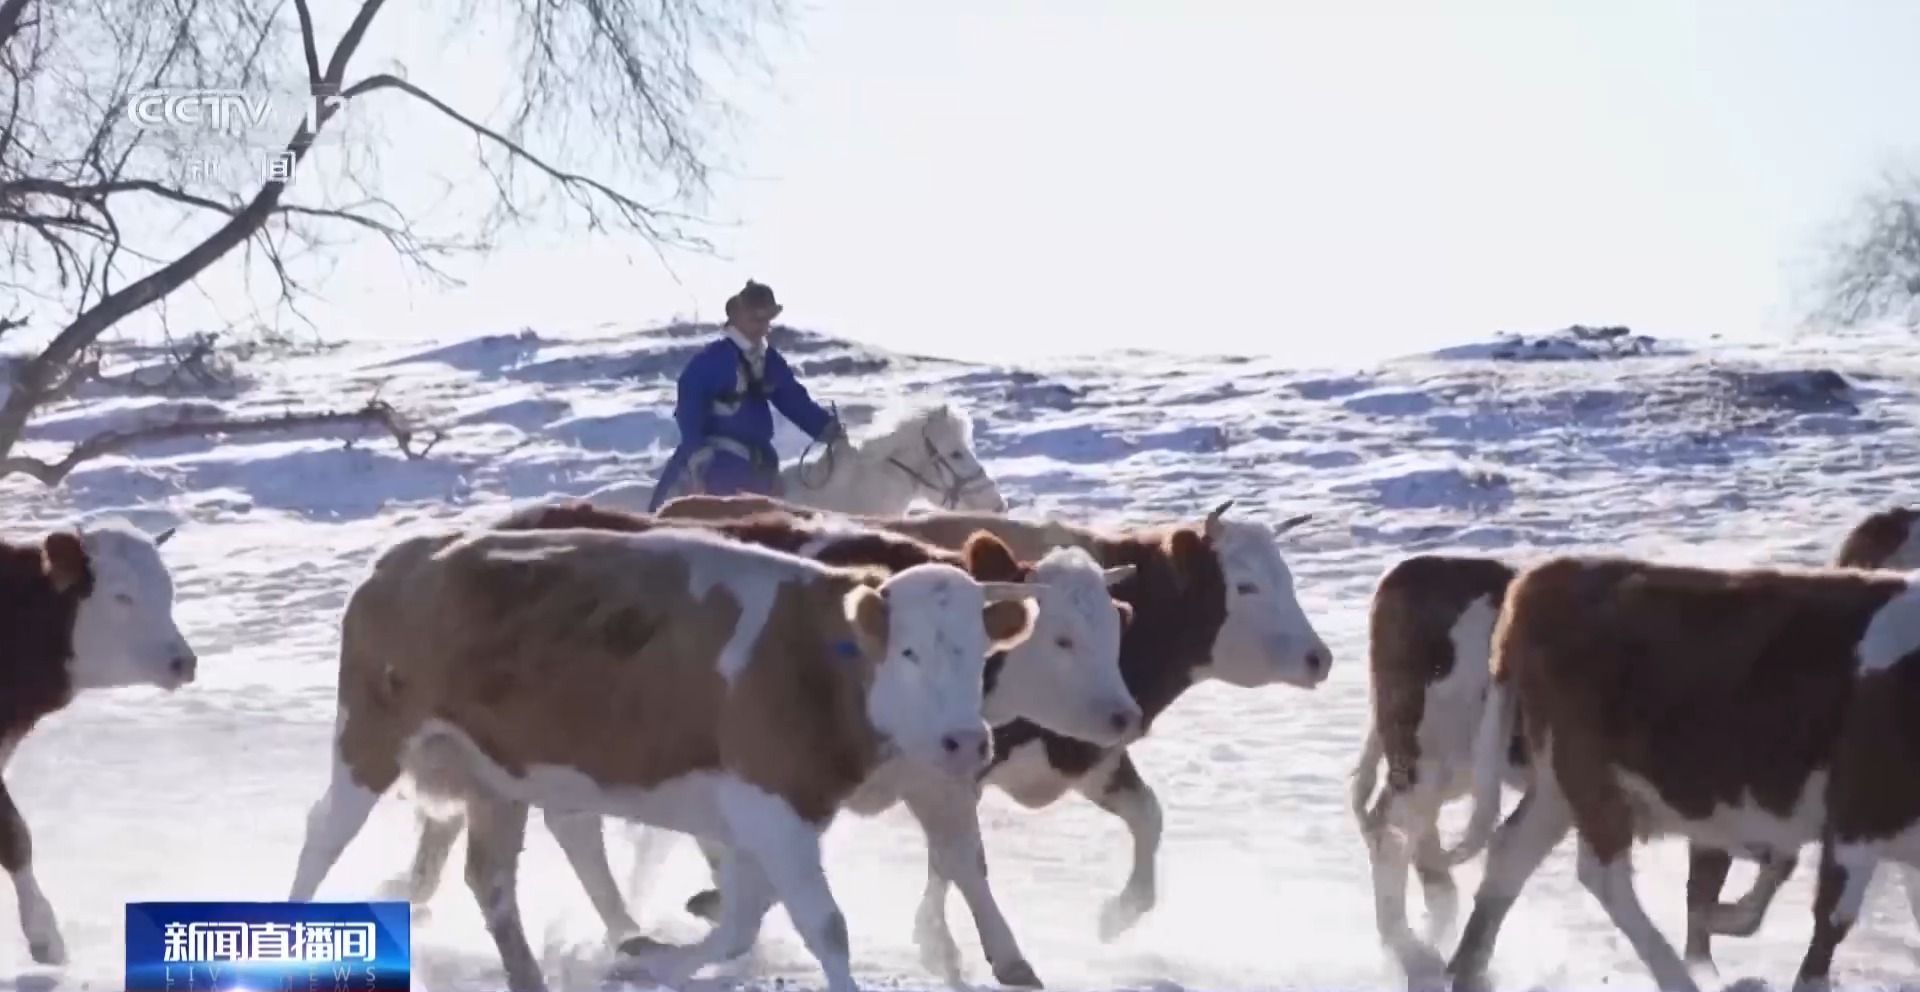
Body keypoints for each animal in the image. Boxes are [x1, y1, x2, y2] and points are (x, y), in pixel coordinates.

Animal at [387, 498, 1136, 982]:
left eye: (1114, 626)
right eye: (1062, 638)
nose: (1124, 716)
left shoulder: (925, 779)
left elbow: (962, 861)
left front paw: (1001, 958)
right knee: (563, 828)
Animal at [652, 495, 1328, 982]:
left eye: (1288, 578)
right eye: (1246, 586)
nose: (1319, 657)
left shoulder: (1079, 754)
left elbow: (1146, 817)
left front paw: (1116, 915)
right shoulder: (946, 769)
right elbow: (958, 859)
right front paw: (958, 947)